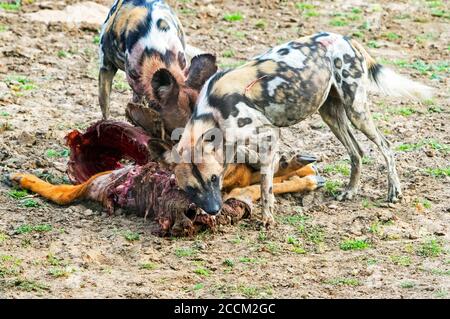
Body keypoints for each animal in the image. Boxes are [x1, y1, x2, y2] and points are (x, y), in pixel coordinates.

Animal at [169, 31, 432, 225]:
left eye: (214, 179)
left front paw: (267, 218)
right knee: (357, 152)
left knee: (385, 146)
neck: (213, 112)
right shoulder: (234, 144)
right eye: (191, 189)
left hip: (356, 111)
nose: (214, 209)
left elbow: (265, 185)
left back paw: (393, 191)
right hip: (331, 115)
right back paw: (350, 190)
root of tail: (346, 38)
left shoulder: (269, 134)